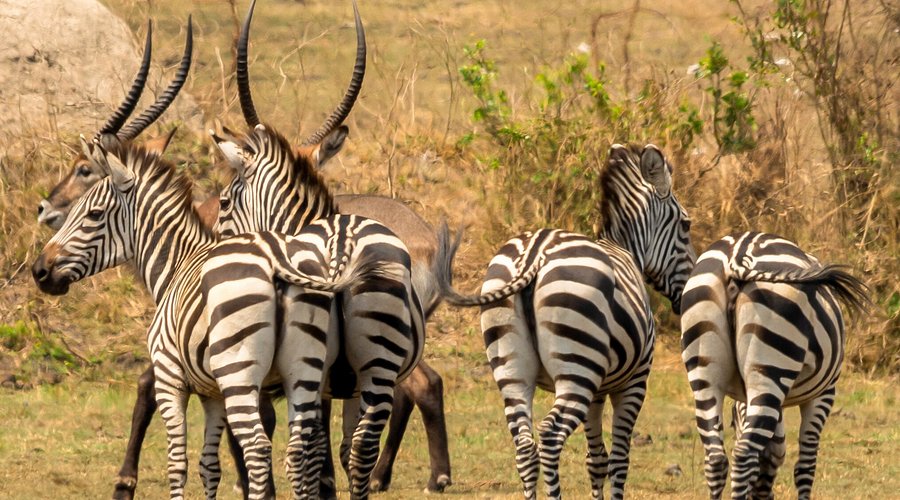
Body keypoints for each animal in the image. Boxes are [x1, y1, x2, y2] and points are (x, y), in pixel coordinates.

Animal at [436, 143, 695, 499]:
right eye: (686, 225)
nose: (688, 291)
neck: (626, 248)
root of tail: (535, 253)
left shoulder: (599, 388)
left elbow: (596, 460)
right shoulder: (634, 382)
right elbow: (618, 460)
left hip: (512, 367)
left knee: (524, 446)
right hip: (577, 369)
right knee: (549, 435)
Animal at [680, 231, 869, 499]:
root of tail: (740, 255)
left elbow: (772, 453)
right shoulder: (824, 393)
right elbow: (805, 465)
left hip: (704, 371)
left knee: (715, 459)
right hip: (771, 366)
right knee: (743, 456)